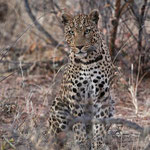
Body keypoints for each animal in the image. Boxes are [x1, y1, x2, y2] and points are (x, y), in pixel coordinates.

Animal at [49, 9, 115, 150]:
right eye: (71, 32)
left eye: (87, 31)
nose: (79, 46)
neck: (87, 60)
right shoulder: (75, 95)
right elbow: (78, 125)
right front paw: (81, 144)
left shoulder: (102, 95)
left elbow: (99, 124)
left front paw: (98, 145)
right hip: (57, 107)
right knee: (60, 137)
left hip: (112, 103)